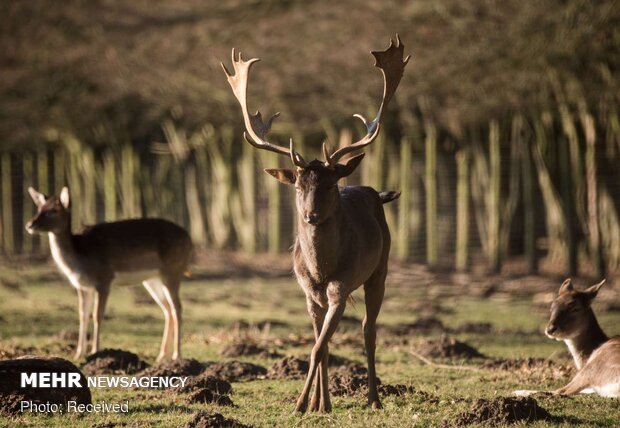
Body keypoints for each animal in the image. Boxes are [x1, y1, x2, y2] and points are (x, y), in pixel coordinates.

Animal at [25, 187, 193, 362]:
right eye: (39, 208)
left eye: (53, 210)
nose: (29, 224)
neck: (80, 258)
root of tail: (189, 239)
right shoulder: (82, 286)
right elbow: (82, 314)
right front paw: (78, 354)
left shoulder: (104, 279)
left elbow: (97, 315)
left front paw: (95, 351)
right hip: (152, 279)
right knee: (167, 310)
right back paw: (161, 356)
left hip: (172, 271)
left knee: (177, 308)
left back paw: (176, 355)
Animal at [220, 34, 410, 412]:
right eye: (298, 184)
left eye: (331, 184)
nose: (311, 215)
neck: (322, 270)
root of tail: (377, 194)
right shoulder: (308, 293)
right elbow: (319, 345)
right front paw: (316, 404)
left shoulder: (341, 287)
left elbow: (318, 347)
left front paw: (299, 404)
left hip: (379, 269)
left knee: (368, 330)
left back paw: (374, 399)